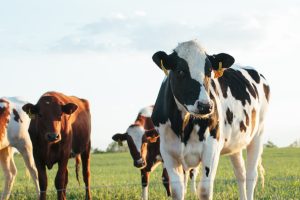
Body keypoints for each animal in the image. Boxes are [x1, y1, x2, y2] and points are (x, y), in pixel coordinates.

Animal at [149, 39, 270, 199]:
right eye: (180, 71)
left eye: (209, 72)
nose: (205, 106)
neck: (183, 127)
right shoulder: (167, 151)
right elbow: (177, 190)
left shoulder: (211, 148)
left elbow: (205, 190)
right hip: (235, 142)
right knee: (241, 173)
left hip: (258, 134)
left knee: (251, 175)